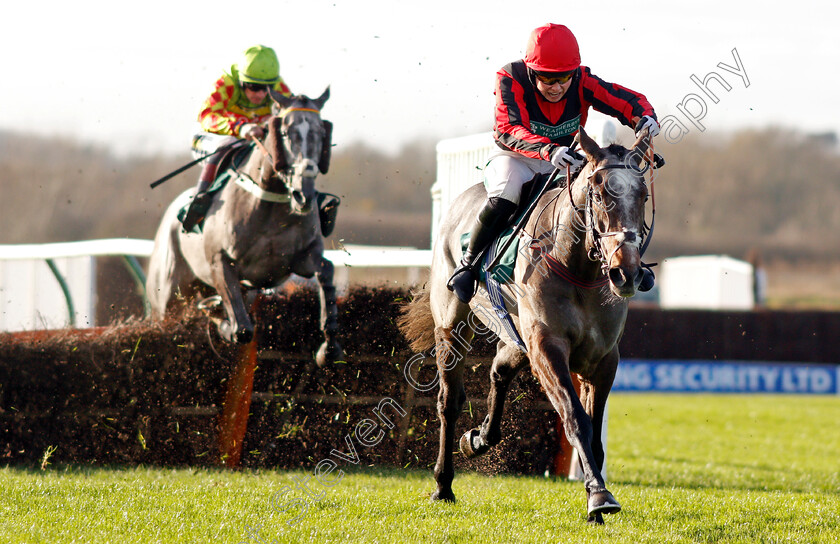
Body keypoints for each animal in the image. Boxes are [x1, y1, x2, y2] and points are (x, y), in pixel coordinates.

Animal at [148, 89, 342, 368]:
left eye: (321, 133)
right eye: (286, 133)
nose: (302, 195)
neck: (268, 202)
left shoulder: (300, 258)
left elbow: (326, 270)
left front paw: (329, 347)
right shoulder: (221, 263)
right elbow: (241, 330)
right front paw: (217, 316)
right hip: (168, 296)